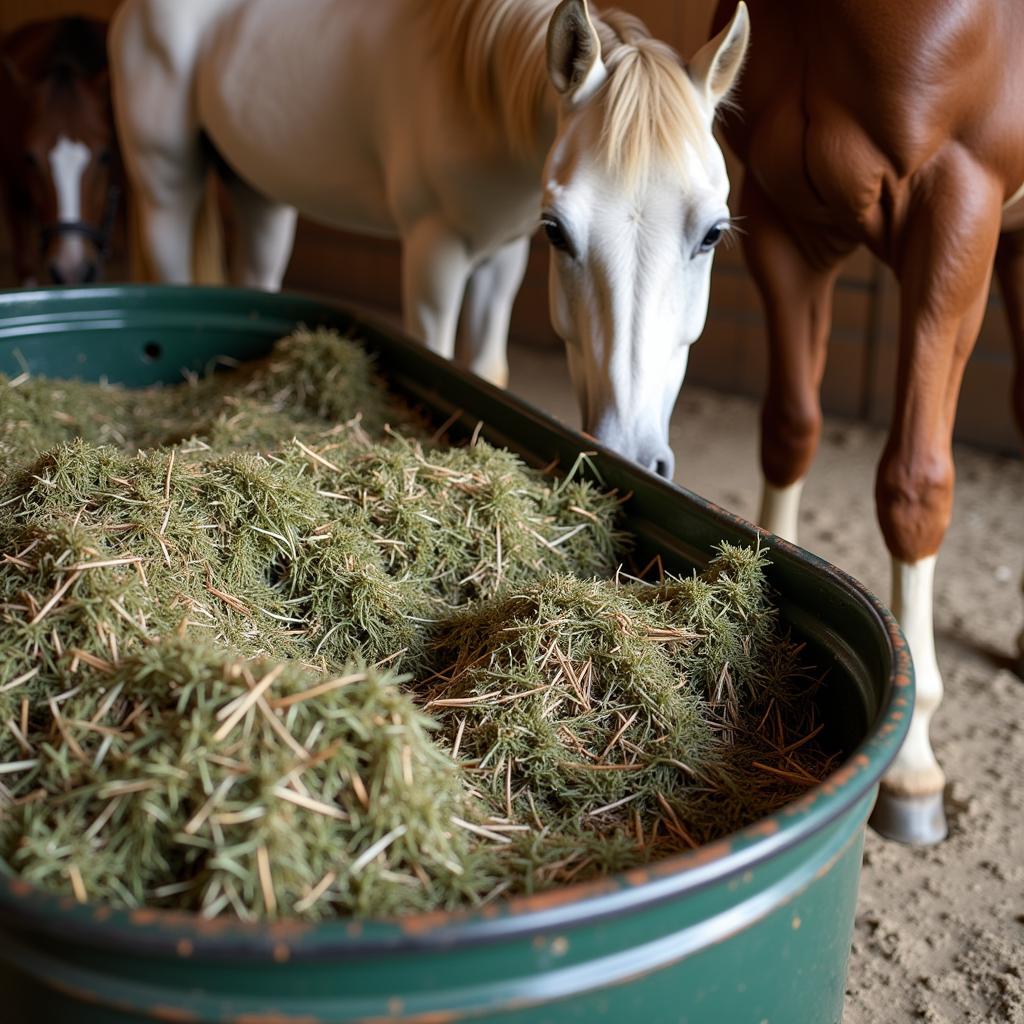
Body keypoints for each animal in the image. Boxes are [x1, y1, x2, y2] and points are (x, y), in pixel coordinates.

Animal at [112, 0, 749, 477]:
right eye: (559, 232)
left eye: (712, 234)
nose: (633, 454)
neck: (479, 89)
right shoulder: (435, 250)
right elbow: (439, 356)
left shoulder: (501, 255)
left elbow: (486, 369)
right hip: (166, 185)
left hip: (258, 192)